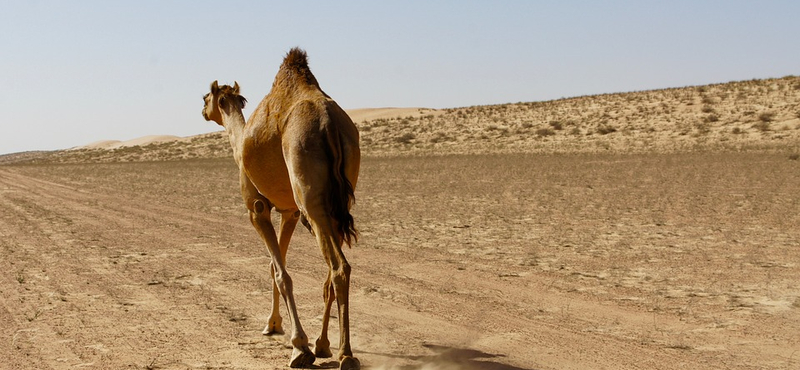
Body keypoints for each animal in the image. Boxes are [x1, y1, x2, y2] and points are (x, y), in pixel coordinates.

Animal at [202, 47, 360, 370]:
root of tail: (329, 124)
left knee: (339, 267)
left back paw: (345, 354)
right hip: (339, 199)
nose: (202, 110)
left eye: (205, 98)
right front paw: (274, 325)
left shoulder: (257, 209)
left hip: (308, 189)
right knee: (330, 272)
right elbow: (277, 265)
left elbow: (281, 273)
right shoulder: (290, 212)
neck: (240, 144)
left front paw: (299, 346)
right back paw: (325, 344)